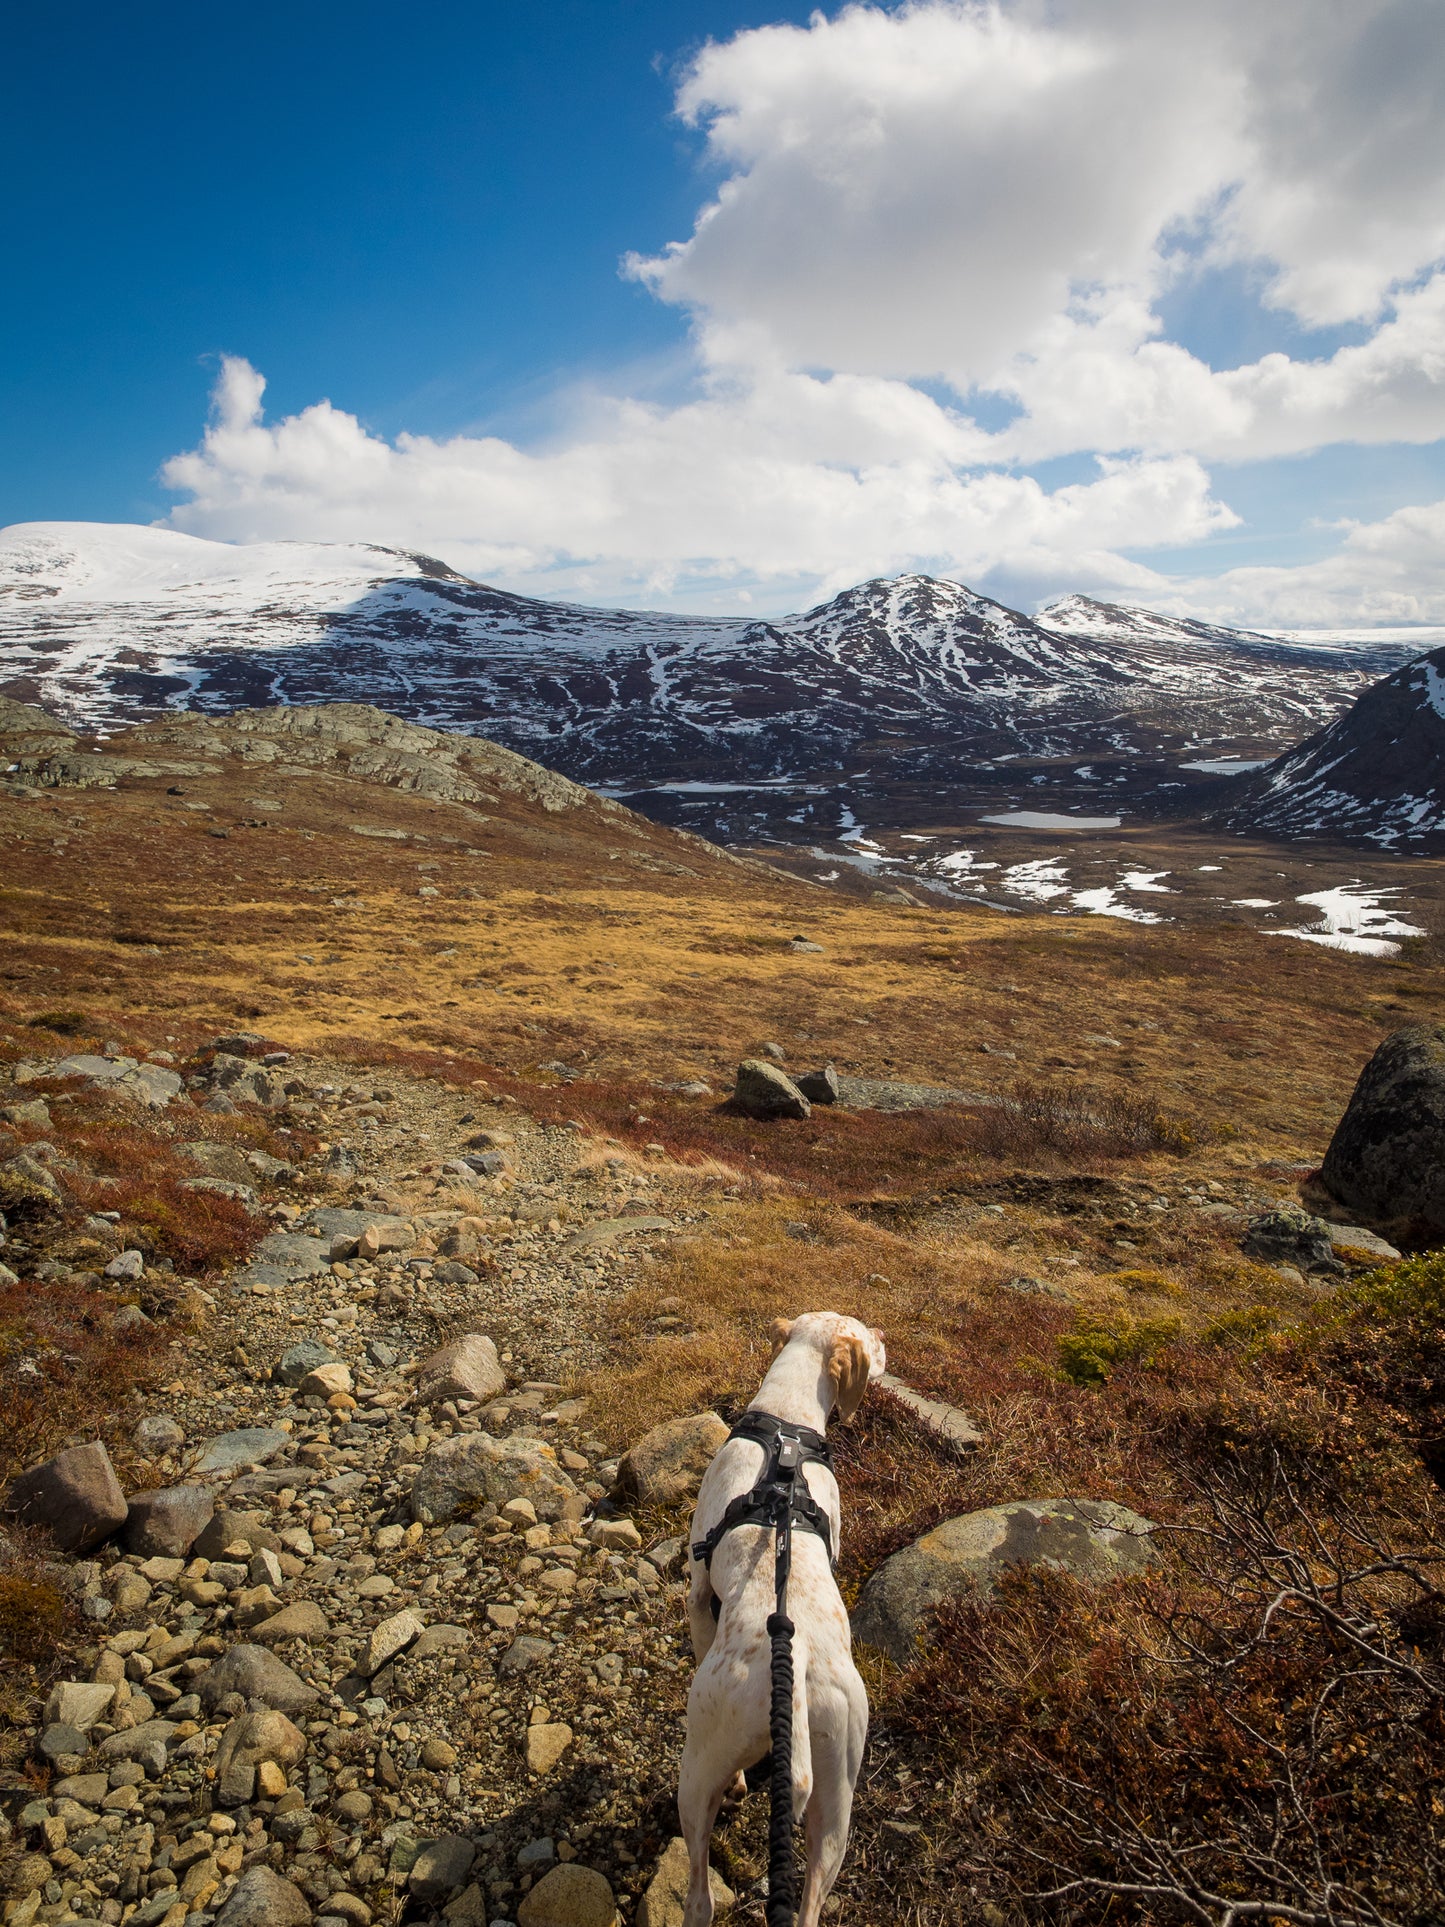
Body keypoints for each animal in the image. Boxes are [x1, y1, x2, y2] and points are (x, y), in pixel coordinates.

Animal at [685, 1310, 890, 1927]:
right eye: (869, 1335)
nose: (886, 1339)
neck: (788, 1427)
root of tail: (791, 1672)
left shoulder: (696, 1587)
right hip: (837, 1804)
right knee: (810, 1903)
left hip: (697, 1767)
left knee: (700, 1896)